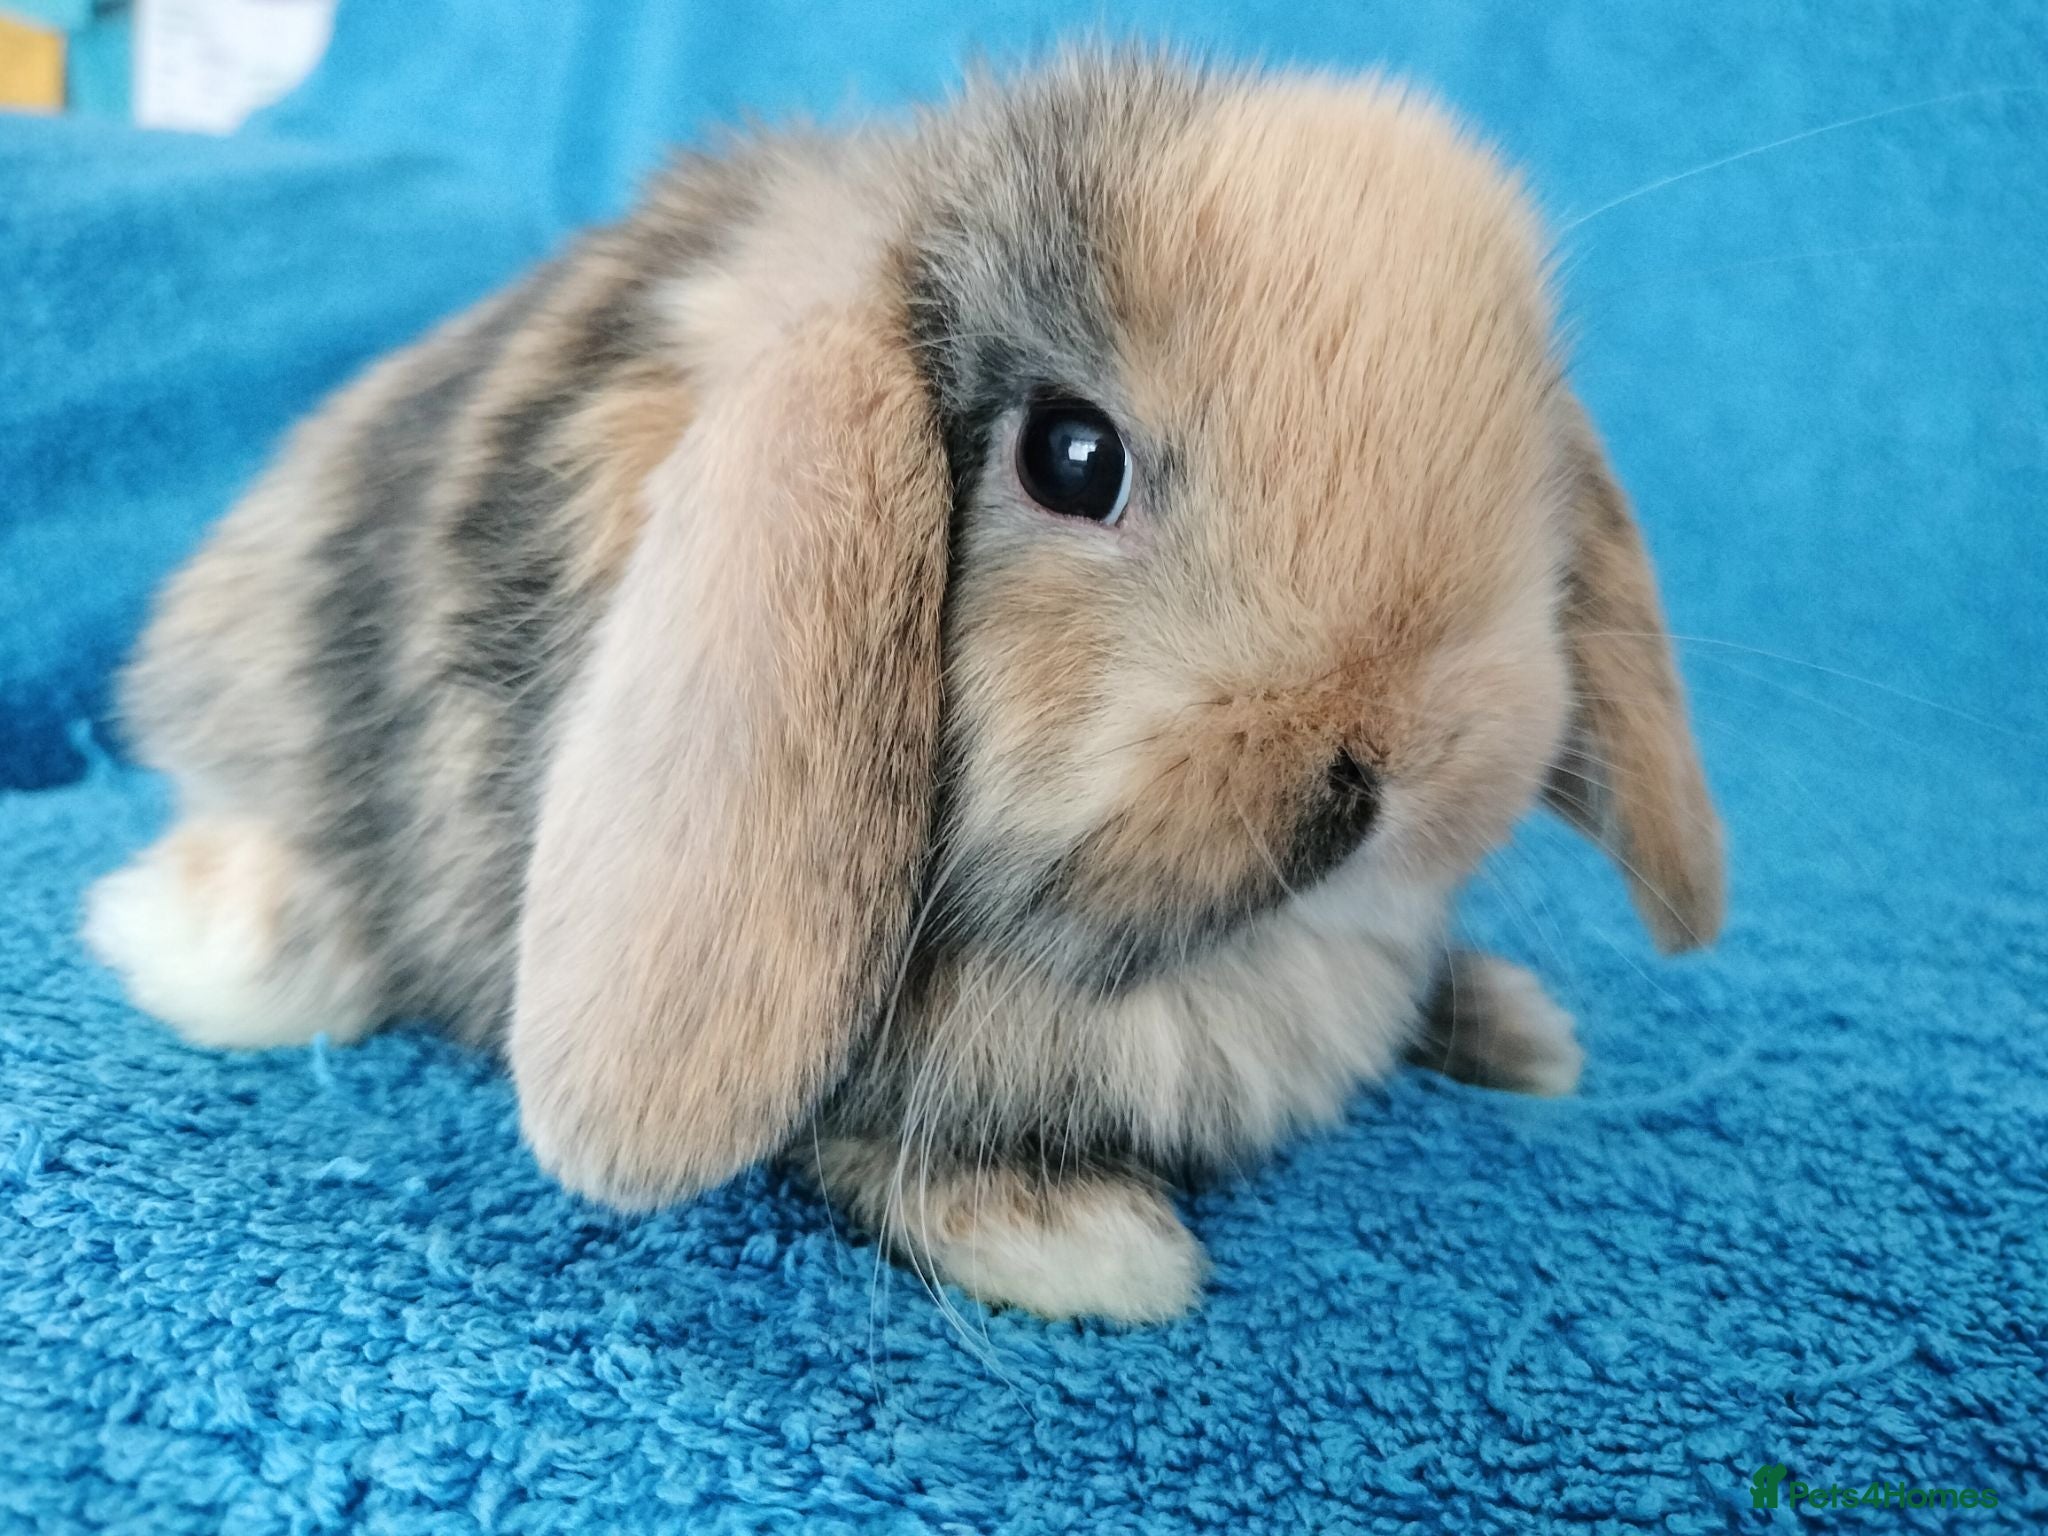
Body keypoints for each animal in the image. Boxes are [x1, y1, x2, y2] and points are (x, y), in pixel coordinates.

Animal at [83, 51, 1722, 1323]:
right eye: (1071, 456)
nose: (1405, 760)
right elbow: (877, 1150)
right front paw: (1097, 1251)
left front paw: (1520, 1031)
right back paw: (201, 934)